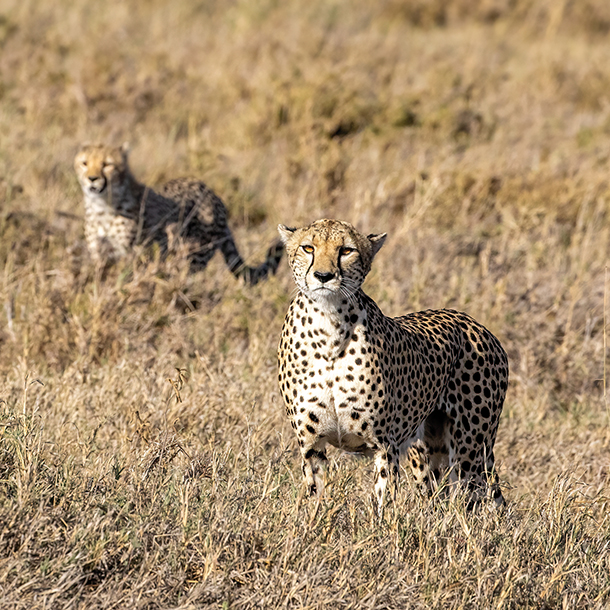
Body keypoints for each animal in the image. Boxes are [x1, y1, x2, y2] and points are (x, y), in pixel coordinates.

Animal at [73, 144, 280, 284]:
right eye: (84, 163)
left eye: (107, 164)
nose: (92, 178)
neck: (102, 206)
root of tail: (213, 194)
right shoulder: (99, 253)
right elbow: (100, 280)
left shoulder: (133, 253)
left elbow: (127, 278)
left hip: (194, 255)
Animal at [278, 218, 506, 512]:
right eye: (308, 248)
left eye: (346, 250)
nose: (323, 276)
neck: (328, 325)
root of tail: (475, 324)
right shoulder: (311, 445)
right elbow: (315, 496)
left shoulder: (385, 445)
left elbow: (383, 500)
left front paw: (380, 523)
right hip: (427, 450)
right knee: (437, 496)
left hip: (471, 449)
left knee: (471, 500)